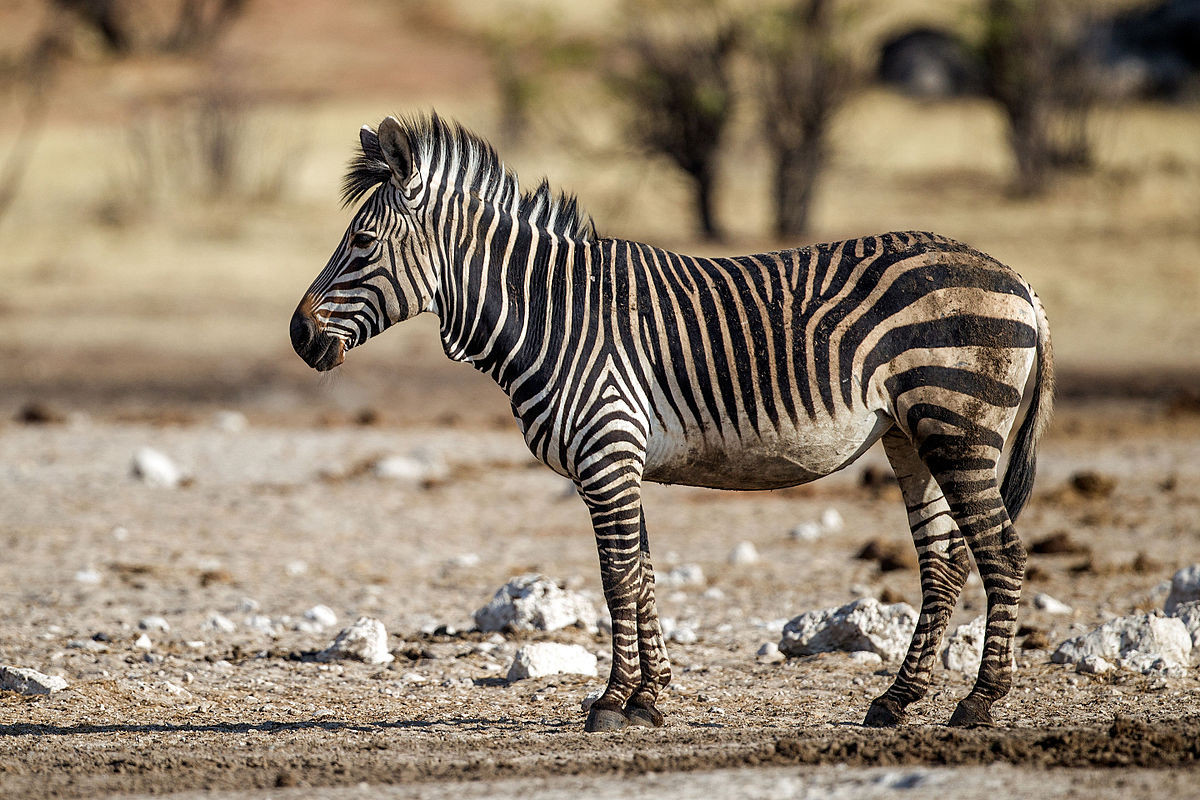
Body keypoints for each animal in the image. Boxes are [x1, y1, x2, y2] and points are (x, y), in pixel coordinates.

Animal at [290, 113, 1053, 732]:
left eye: (362, 241)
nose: (298, 337)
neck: (553, 315)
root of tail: (1016, 278)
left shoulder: (606, 455)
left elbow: (617, 578)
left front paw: (611, 702)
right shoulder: (621, 462)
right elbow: (645, 575)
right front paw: (649, 699)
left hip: (957, 425)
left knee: (1001, 552)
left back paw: (979, 703)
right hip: (909, 435)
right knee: (942, 564)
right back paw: (897, 700)